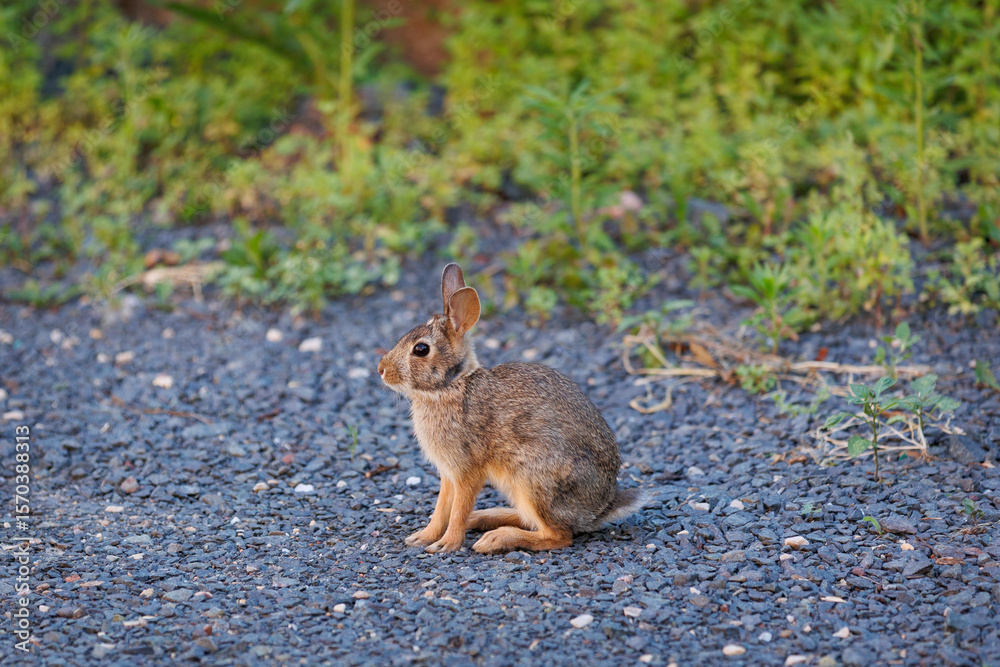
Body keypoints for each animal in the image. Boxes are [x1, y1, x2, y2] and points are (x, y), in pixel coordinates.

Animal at [377, 263, 647, 554]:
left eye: (421, 349)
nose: (381, 369)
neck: (450, 387)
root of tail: (600, 508)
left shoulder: (467, 470)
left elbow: (458, 509)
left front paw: (446, 544)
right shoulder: (448, 474)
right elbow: (441, 508)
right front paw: (422, 537)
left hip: (534, 479)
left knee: (558, 535)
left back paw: (496, 538)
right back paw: (484, 519)